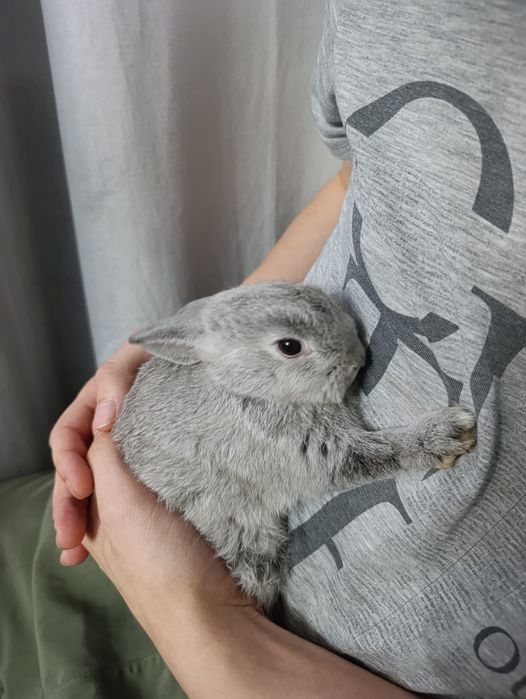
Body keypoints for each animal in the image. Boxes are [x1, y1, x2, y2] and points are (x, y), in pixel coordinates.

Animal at [112, 282, 476, 610]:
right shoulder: (312, 451)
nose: (359, 356)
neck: (251, 388)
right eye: (289, 346)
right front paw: (448, 433)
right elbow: (379, 454)